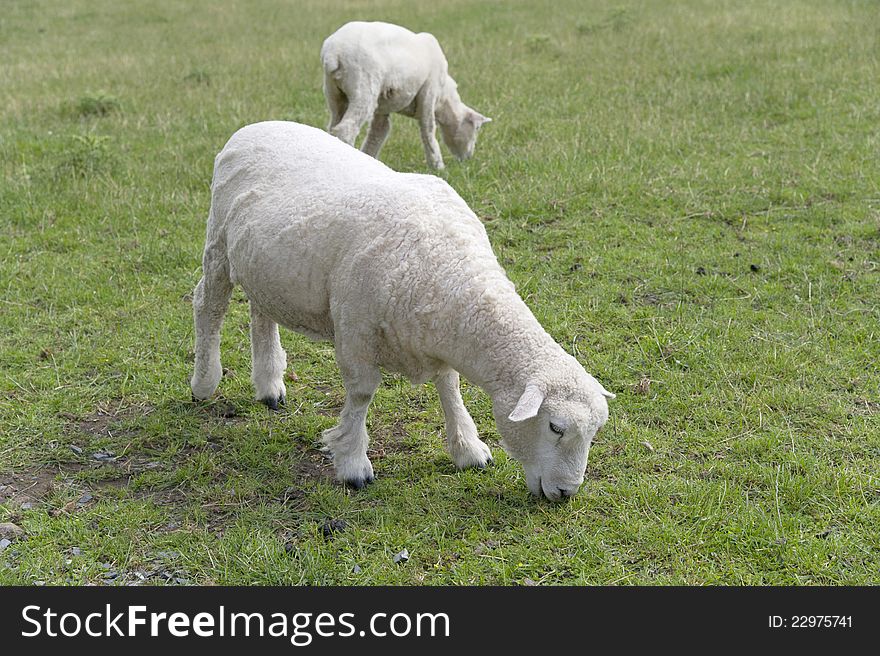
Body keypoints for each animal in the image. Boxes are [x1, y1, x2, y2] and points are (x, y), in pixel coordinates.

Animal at [189, 120, 616, 500]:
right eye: (556, 427)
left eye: (593, 432)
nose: (565, 493)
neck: (451, 272)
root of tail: (255, 126)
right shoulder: (355, 329)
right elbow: (362, 394)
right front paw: (353, 464)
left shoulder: (432, 334)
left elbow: (449, 387)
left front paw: (467, 448)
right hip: (218, 245)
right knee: (208, 306)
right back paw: (204, 382)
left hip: (264, 266)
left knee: (261, 313)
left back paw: (269, 386)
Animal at [320, 22, 492, 172]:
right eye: (476, 129)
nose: (468, 158)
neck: (445, 101)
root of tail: (334, 53)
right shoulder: (429, 92)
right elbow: (428, 129)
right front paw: (438, 167)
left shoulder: (383, 107)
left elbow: (378, 132)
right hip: (364, 86)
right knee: (346, 129)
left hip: (335, 94)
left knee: (333, 126)